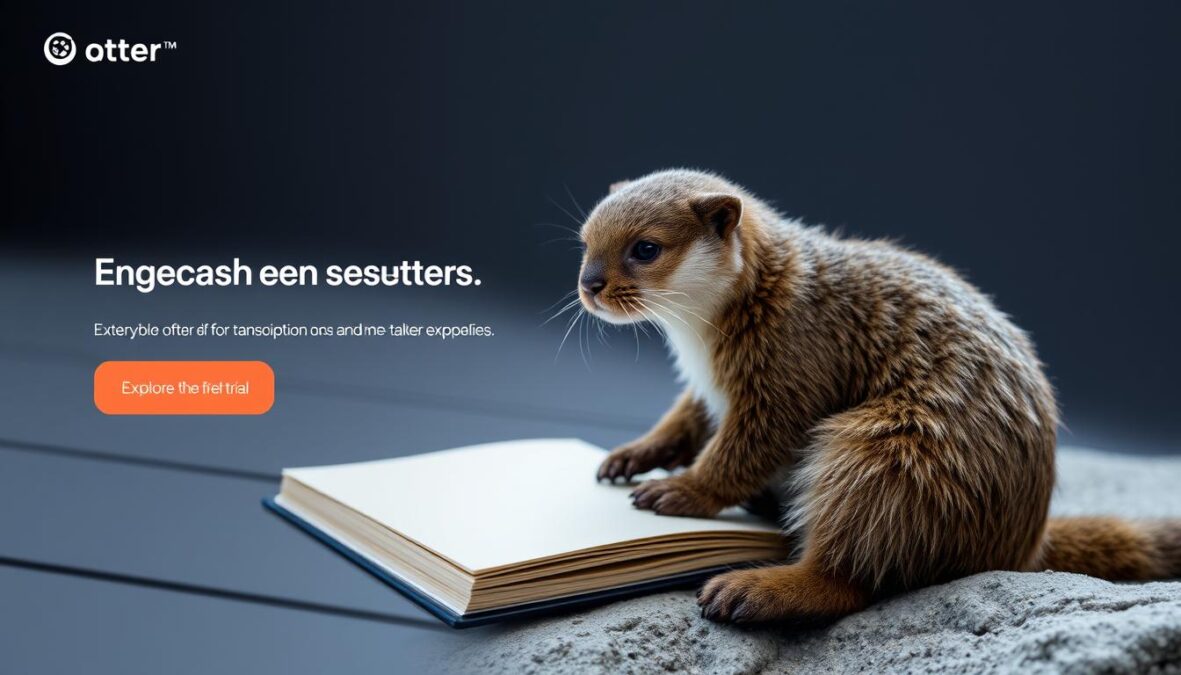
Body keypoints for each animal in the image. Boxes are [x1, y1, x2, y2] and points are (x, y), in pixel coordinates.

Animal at [576, 169, 1181, 624]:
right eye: (585, 242)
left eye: (645, 248)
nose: (588, 283)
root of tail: (1023, 544)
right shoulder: (706, 390)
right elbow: (681, 422)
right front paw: (630, 456)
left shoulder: (789, 368)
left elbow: (742, 453)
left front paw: (682, 490)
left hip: (883, 452)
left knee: (847, 574)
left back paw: (757, 588)